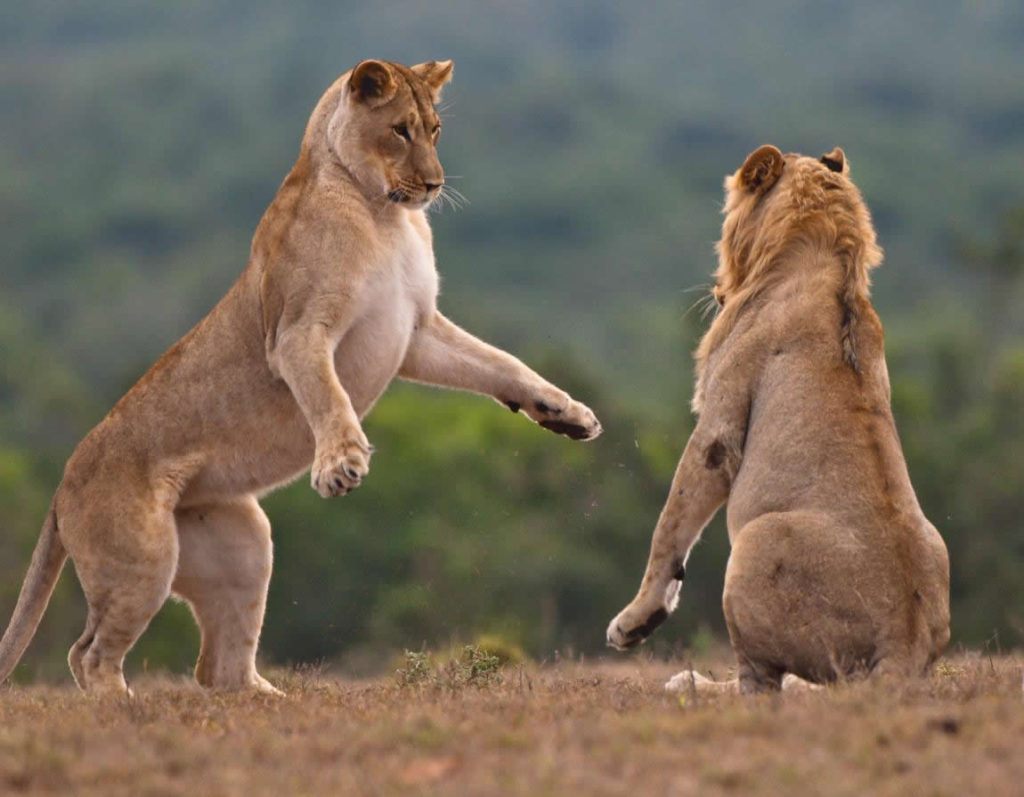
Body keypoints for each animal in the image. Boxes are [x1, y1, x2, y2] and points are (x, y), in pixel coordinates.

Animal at [0, 59, 601, 696]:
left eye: (436, 130)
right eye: (400, 131)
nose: (435, 186)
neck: (385, 214)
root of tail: (62, 485)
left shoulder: (417, 332)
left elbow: (501, 363)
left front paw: (567, 413)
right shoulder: (297, 332)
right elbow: (327, 396)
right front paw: (339, 465)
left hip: (242, 543)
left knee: (217, 668)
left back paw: (270, 700)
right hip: (143, 556)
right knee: (87, 654)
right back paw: (125, 705)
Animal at [606, 145, 950, 692]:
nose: (716, 288)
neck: (829, 257)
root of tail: (906, 643)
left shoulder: (718, 426)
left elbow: (670, 525)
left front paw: (634, 621)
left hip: (755, 541)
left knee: (762, 683)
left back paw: (694, 684)